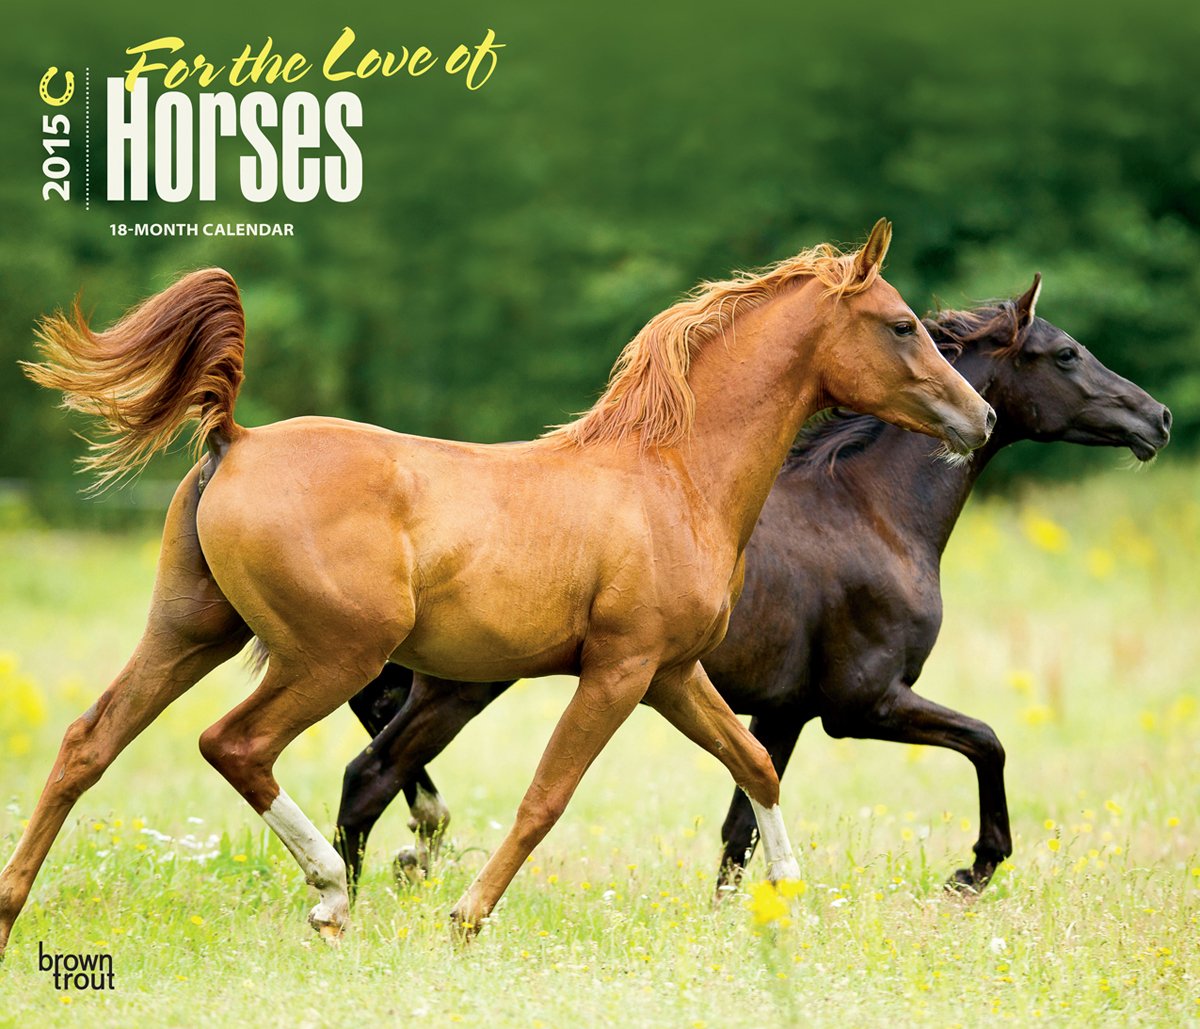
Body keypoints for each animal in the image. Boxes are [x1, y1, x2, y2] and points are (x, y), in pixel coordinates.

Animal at [0, 220, 994, 954]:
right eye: (902, 324)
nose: (978, 416)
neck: (672, 476)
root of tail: (234, 439)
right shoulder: (621, 670)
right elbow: (547, 795)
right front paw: (465, 916)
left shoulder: (674, 672)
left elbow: (752, 764)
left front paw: (787, 896)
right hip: (328, 656)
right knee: (235, 745)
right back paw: (330, 894)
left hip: (191, 632)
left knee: (89, 743)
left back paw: (12, 909)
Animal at [331, 274, 1171, 893]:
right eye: (1066, 355)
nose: (1157, 418)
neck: (871, 510)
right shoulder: (862, 704)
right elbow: (987, 740)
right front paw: (975, 868)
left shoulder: (783, 713)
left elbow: (742, 821)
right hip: (463, 684)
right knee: (373, 775)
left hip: (446, 683)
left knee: (374, 772)